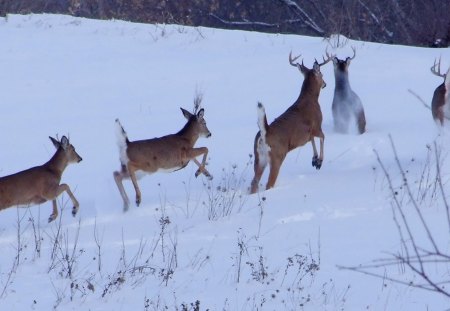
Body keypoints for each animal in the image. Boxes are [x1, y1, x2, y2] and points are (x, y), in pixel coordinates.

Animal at [250, 51, 330, 194]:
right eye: (322, 73)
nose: (325, 84)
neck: (310, 99)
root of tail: (265, 132)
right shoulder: (317, 126)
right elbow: (322, 137)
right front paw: (319, 162)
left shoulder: (307, 134)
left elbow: (312, 140)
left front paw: (314, 160)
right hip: (277, 156)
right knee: (269, 184)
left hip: (258, 158)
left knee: (254, 183)